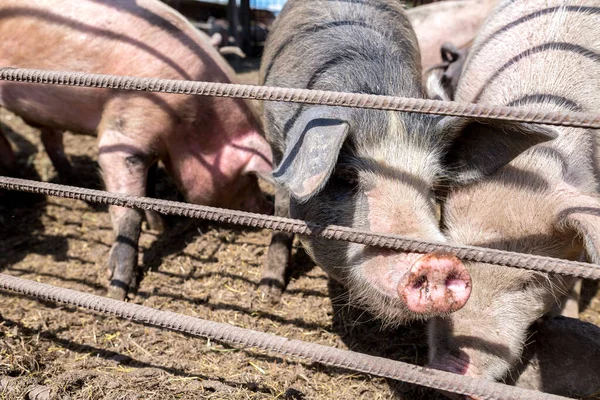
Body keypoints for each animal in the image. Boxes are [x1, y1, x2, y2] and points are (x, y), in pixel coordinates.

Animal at [0, 0, 274, 300]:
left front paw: (160, 225)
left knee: (50, 139)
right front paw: (118, 291)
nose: (266, 207)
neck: (193, 120)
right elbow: (128, 210)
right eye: (249, 177)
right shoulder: (124, 130)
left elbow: (148, 189)